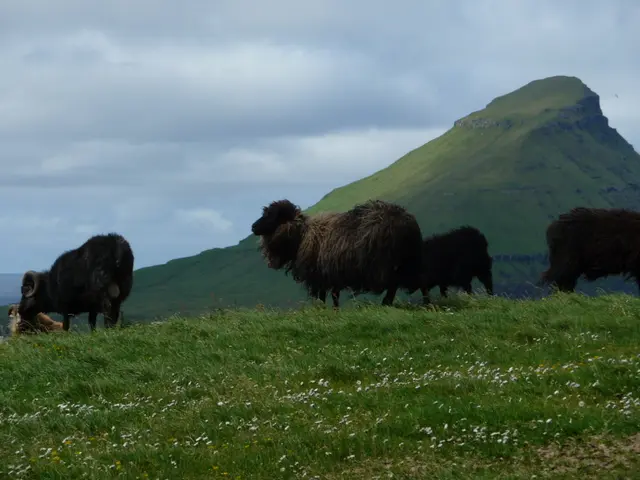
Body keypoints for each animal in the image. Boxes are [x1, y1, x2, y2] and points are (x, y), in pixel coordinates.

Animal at [250, 198, 424, 308]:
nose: (253, 227)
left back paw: (386, 303)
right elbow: (333, 296)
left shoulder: (319, 275)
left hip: (386, 263)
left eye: (271, 215)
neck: (302, 235)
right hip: (405, 261)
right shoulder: (330, 274)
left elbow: (321, 298)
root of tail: (409, 222)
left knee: (394, 284)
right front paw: (334, 311)